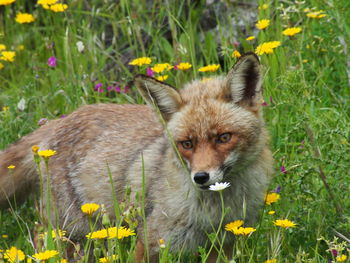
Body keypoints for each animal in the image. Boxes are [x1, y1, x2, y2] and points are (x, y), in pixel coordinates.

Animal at [0, 52, 274, 262]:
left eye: (223, 138)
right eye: (187, 143)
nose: (201, 177)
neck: (214, 213)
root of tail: (61, 120)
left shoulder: (225, 243)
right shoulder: (152, 241)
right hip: (70, 226)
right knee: (39, 235)